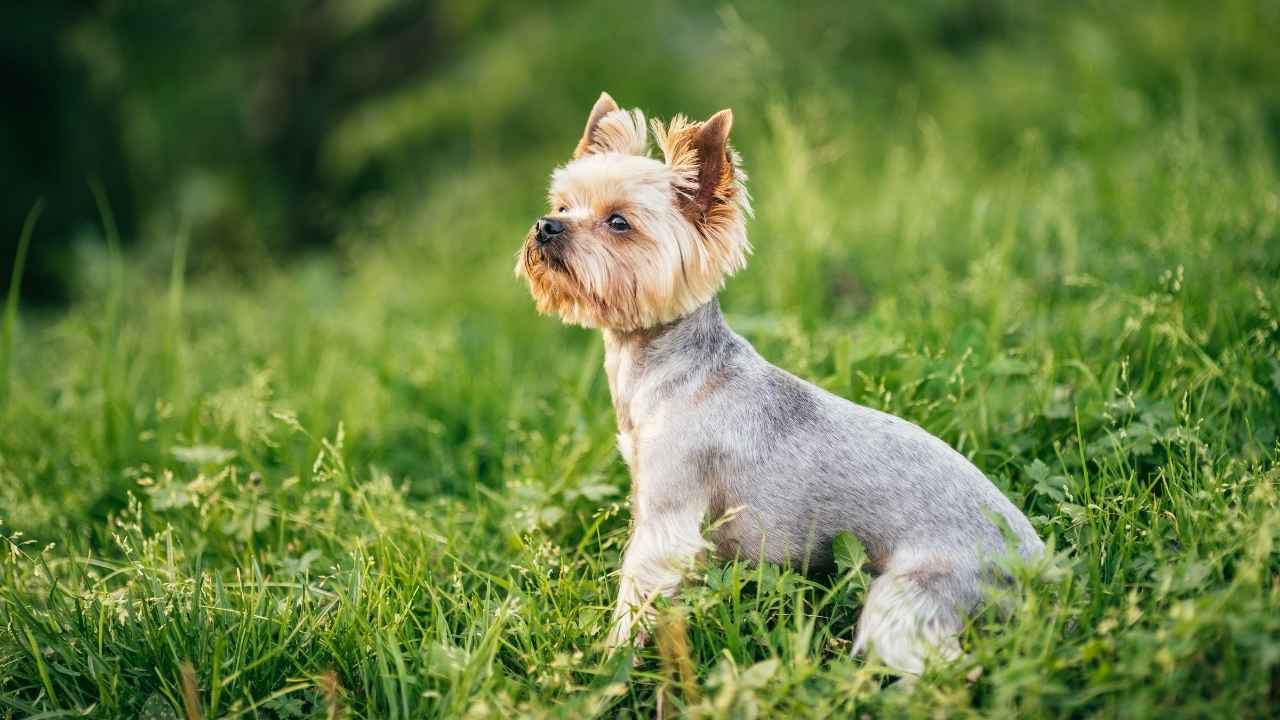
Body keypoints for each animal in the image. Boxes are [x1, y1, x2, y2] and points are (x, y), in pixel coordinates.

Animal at [514, 94, 1044, 671]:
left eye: (618, 222)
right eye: (563, 205)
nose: (546, 226)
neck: (676, 371)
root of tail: (1038, 570)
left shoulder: (668, 519)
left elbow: (639, 593)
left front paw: (609, 660)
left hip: (908, 598)